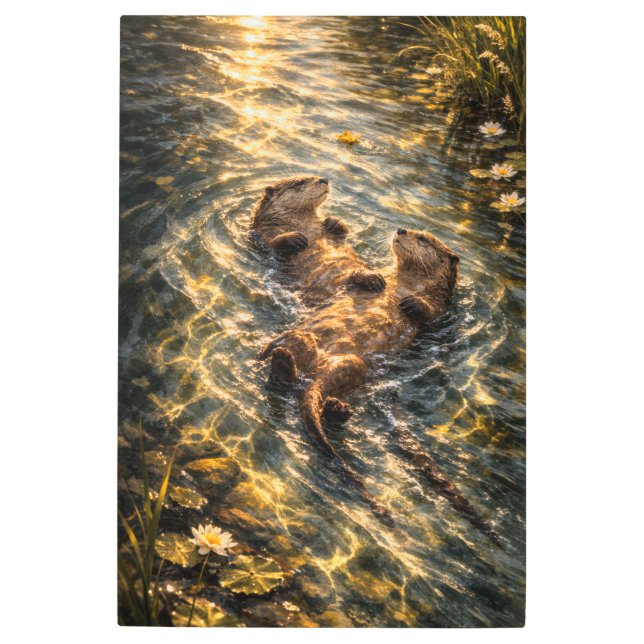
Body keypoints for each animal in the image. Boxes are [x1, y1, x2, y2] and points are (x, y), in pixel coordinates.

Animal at [251, 177, 387, 305]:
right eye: (300, 182)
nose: (324, 179)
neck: (303, 225)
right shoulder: (264, 231)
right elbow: (272, 242)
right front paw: (295, 238)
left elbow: (343, 232)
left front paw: (333, 221)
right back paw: (372, 279)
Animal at [260, 228, 500, 543]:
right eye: (412, 230)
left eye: (423, 238)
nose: (401, 230)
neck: (406, 283)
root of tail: (313, 372)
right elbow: (354, 278)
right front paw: (371, 279)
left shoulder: (441, 308)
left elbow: (431, 312)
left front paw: (413, 304)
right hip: (308, 343)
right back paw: (282, 359)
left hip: (352, 365)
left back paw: (326, 400)